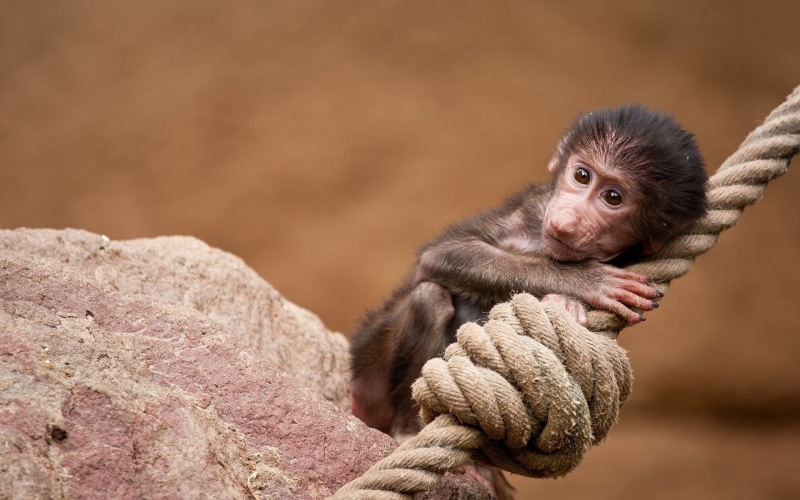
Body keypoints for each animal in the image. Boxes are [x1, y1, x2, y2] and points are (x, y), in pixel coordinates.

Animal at [349, 105, 707, 493]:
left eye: (614, 198)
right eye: (582, 175)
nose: (567, 220)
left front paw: (567, 299)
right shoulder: (534, 207)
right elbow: (443, 254)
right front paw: (584, 282)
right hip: (371, 368)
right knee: (429, 297)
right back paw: (408, 430)